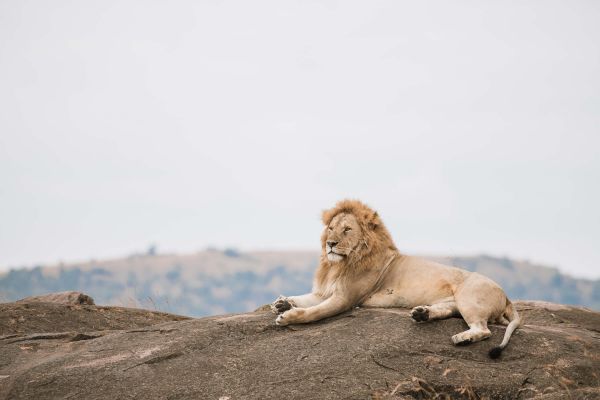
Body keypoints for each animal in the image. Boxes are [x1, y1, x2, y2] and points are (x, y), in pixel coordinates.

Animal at [272, 200, 520, 360]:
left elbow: (315, 311)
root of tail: (506, 295)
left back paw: (462, 338)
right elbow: (305, 298)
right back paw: (422, 314)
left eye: (347, 229)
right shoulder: (324, 291)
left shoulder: (345, 299)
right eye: (331, 228)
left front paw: (288, 316)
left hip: (469, 299)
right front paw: (282, 302)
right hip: (456, 303)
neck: (339, 264)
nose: (329, 244)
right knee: (449, 312)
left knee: (484, 330)